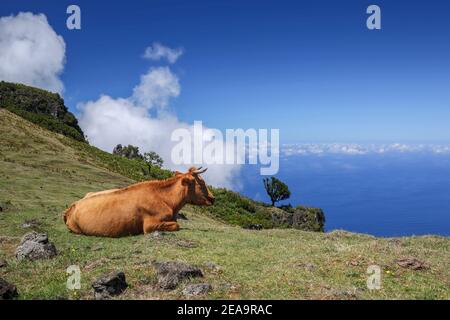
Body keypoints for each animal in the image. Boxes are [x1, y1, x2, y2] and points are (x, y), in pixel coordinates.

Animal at [62, 168, 214, 238]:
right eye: (201, 183)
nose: (213, 198)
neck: (168, 202)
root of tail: (72, 206)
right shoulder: (149, 225)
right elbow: (177, 225)